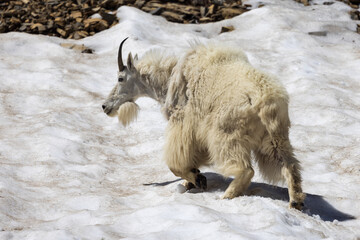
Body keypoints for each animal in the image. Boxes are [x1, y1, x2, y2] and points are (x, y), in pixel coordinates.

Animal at [102, 38, 306, 210]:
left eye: (120, 78)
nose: (105, 106)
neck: (168, 81)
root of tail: (266, 101)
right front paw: (192, 180)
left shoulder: (183, 123)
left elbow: (175, 164)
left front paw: (197, 179)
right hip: (274, 137)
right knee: (289, 165)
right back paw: (295, 201)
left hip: (226, 132)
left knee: (245, 169)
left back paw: (227, 196)